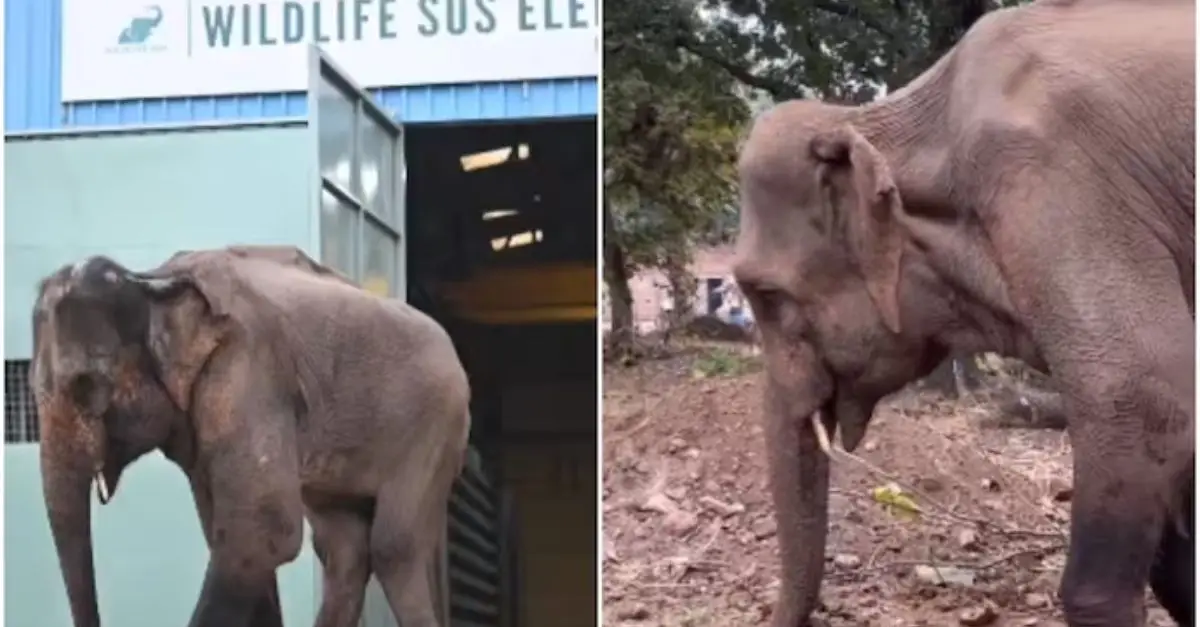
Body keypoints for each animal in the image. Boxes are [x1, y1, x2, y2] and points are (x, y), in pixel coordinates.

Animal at [32, 243, 468, 624]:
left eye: (86, 386)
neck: (150, 281)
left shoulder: (248, 368)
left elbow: (263, 527)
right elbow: (234, 534)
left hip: (437, 422)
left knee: (394, 547)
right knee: (342, 550)